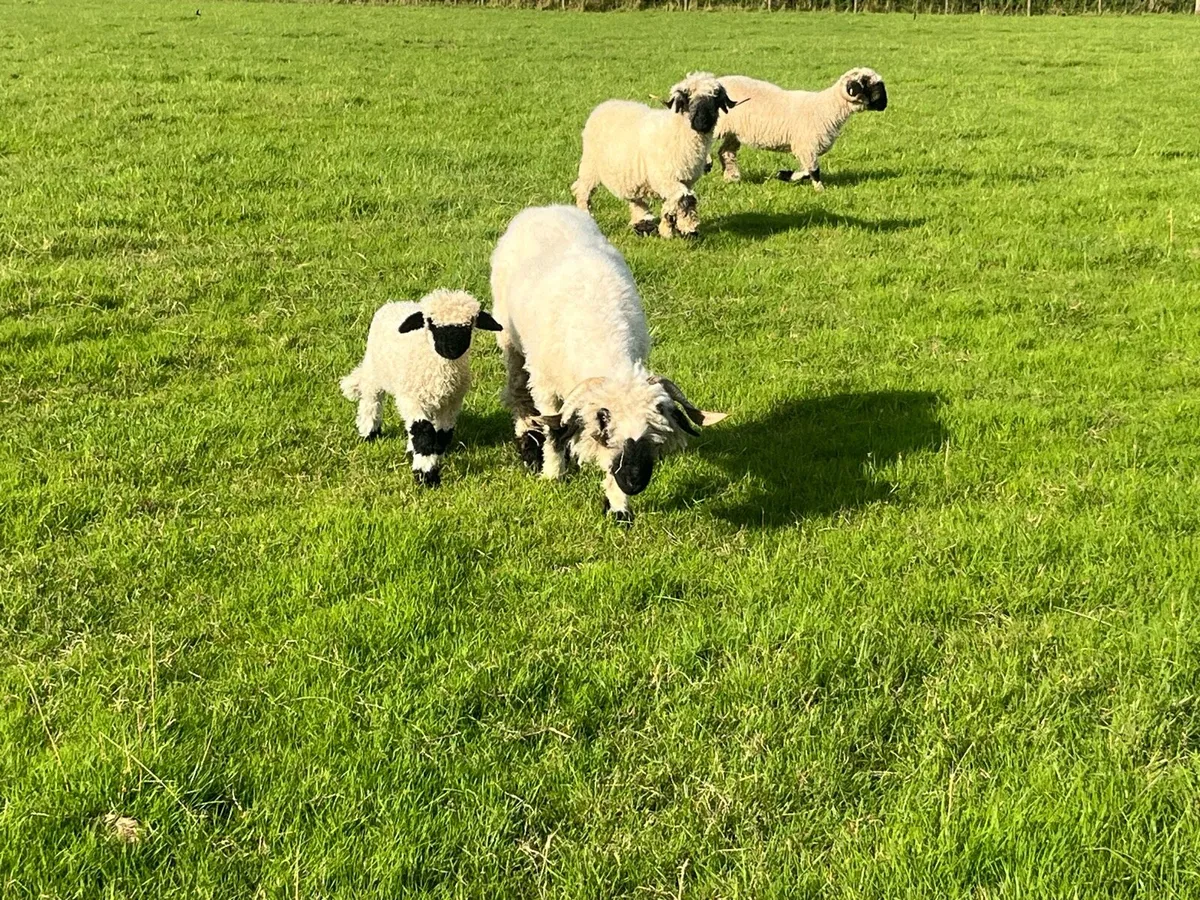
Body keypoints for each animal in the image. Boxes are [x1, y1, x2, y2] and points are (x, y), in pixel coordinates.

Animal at [339, 289, 501, 487]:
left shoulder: (451, 403)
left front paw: (434, 461)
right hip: (374, 372)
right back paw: (369, 432)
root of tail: (395, 303)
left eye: (470, 324)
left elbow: (442, 435)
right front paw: (426, 476)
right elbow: (423, 432)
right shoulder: (412, 399)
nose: (451, 349)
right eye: (431, 323)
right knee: (371, 402)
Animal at [490, 205, 726, 524]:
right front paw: (554, 473)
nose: (633, 482)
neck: (601, 336)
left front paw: (618, 507)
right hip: (510, 339)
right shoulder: (545, 386)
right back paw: (527, 437)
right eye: (605, 424)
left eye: (654, 427)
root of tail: (545, 208)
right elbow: (555, 431)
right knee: (517, 391)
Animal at [571, 72, 740, 239]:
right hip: (590, 166)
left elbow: (682, 201)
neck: (676, 131)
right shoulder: (664, 178)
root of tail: (606, 104)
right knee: (582, 191)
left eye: (715, 99)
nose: (703, 122)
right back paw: (586, 215)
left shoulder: (685, 181)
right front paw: (683, 229)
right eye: (687, 98)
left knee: (636, 200)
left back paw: (643, 224)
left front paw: (676, 228)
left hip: (629, 173)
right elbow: (684, 199)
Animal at [713, 68, 887, 191]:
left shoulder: (806, 149)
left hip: (733, 133)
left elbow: (806, 172)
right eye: (872, 86)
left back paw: (731, 177)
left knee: (726, 152)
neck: (826, 108)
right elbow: (814, 171)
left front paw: (785, 175)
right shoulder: (806, 147)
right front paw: (820, 190)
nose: (885, 105)